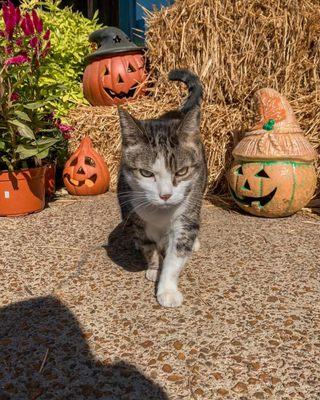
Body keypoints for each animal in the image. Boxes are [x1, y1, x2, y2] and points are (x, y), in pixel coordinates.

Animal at [117, 69, 208, 308]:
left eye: (182, 172)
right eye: (146, 173)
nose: (165, 195)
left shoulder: (184, 220)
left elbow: (176, 256)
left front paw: (166, 289)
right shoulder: (136, 217)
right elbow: (148, 246)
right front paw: (153, 267)